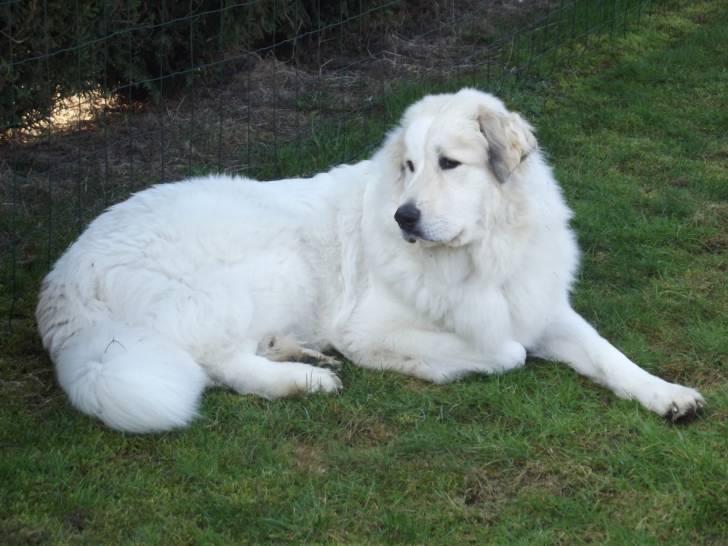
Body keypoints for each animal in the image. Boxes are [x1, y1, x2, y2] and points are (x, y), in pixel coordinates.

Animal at [35, 88, 704, 430]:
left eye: (448, 164)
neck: (478, 255)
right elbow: (505, 353)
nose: (403, 218)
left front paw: (666, 393)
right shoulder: (369, 328)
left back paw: (298, 353)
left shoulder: (538, 305)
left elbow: (609, 355)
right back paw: (304, 378)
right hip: (268, 267)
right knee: (219, 366)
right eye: (408, 166)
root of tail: (65, 275)